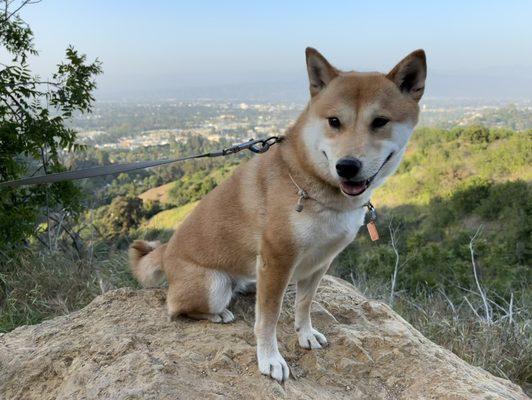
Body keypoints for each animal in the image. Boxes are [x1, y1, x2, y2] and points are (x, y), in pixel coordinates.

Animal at [131, 47, 426, 382]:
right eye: (334, 121)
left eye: (380, 121)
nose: (347, 166)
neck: (311, 183)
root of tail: (166, 250)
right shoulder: (277, 260)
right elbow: (268, 319)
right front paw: (270, 359)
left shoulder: (320, 261)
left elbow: (304, 303)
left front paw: (305, 334)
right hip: (212, 286)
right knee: (176, 307)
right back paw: (218, 313)